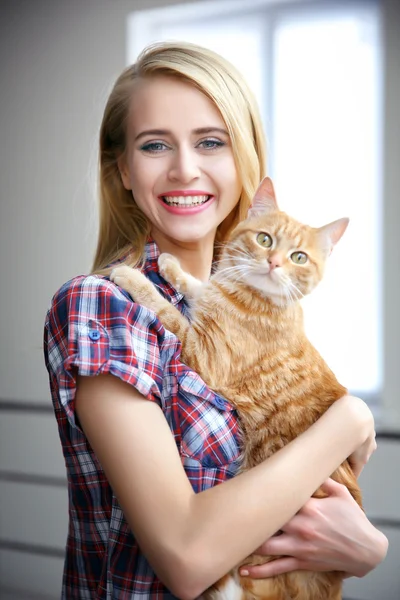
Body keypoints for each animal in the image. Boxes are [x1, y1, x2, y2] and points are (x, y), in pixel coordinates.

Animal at [110, 178, 362, 600]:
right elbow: (198, 287)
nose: (274, 263)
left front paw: (132, 277)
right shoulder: (209, 305)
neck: (250, 295)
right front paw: (173, 266)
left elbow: (166, 309)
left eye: (298, 257)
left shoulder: (203, 352)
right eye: (264, 239)